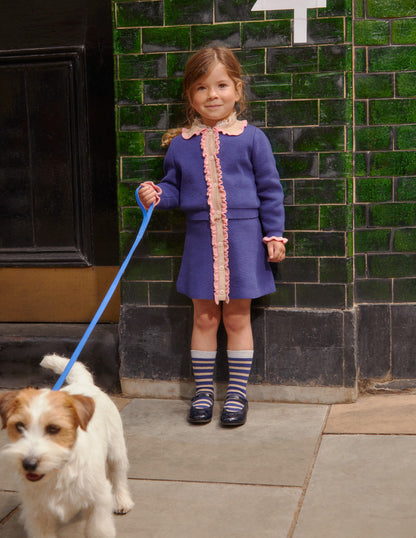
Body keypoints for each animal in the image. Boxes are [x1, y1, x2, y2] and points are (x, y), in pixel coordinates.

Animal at [0, 354, 134, 532]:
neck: (58, 470)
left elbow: (97, 529)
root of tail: (82, 382)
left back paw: (121, 500)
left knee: (118, 475)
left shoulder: (98, 501)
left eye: (53, 428)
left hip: (116, 450)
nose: (29, 463)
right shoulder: (38, 514)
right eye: (19, 426)